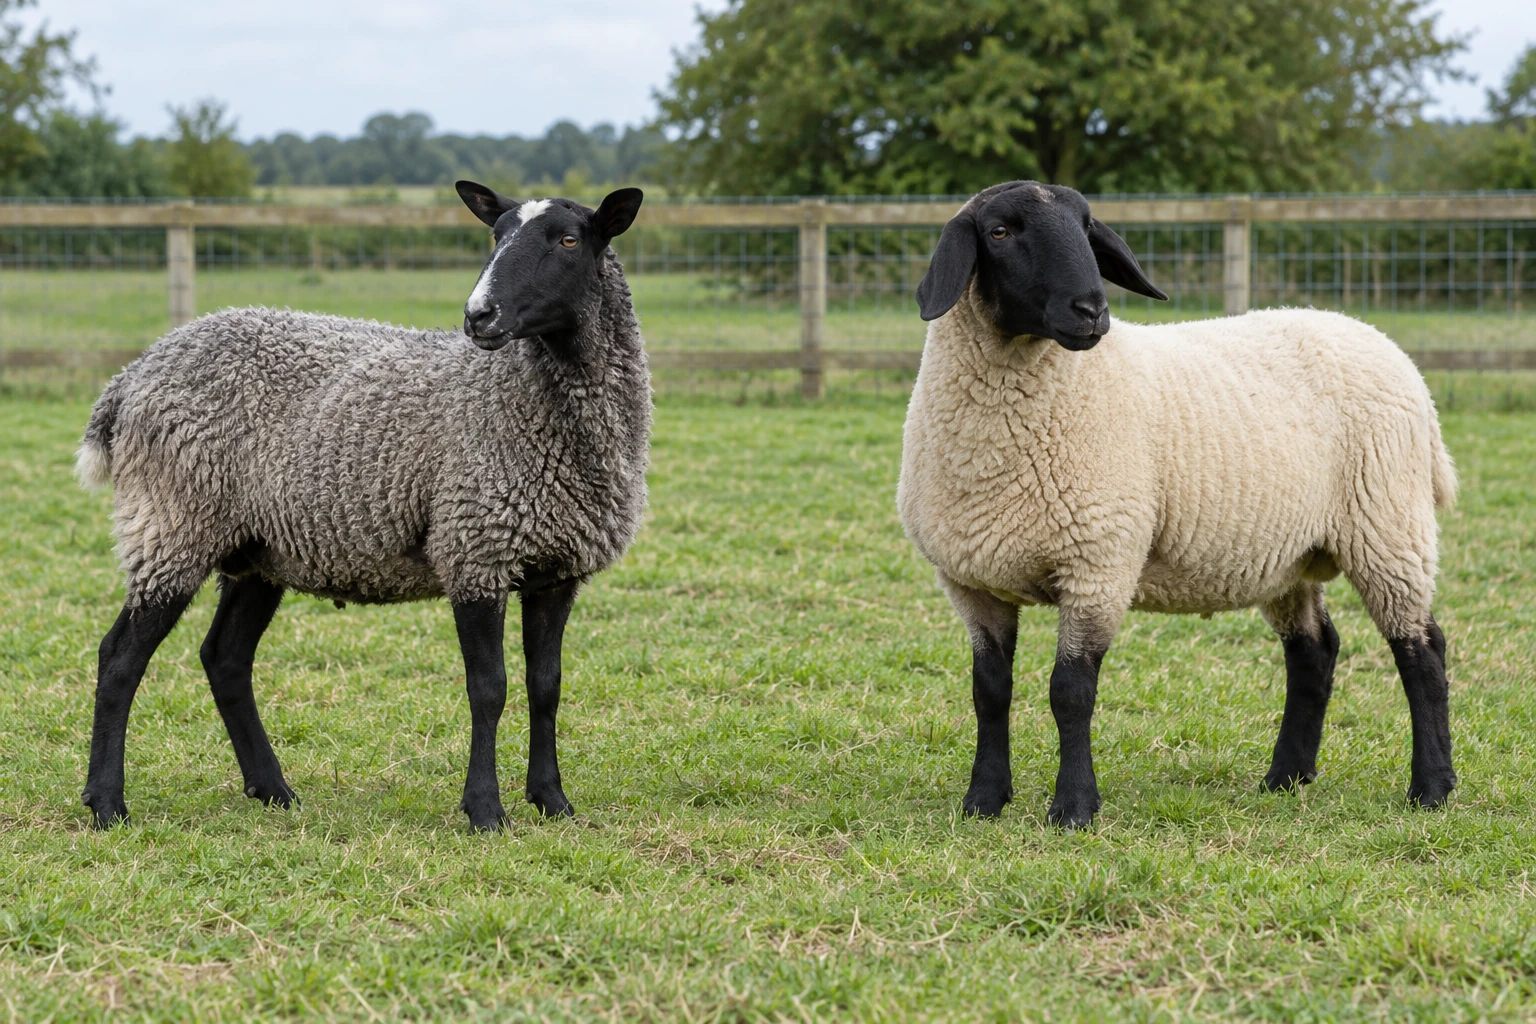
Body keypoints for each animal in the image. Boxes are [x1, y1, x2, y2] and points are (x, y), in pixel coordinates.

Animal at [75, 182, 650, 831]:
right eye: (496, 235)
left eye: (569, 240)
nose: (479, 316)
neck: (520, 397)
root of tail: (133, 374)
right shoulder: (474, 548)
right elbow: (489, 688)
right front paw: (485, 811)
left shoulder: (558, 567)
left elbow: (545, 685)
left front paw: (552, 800)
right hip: (173, 521)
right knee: (120, 658)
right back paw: (107, 803)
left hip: (255, 549)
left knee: (224, 658)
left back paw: (273, 790)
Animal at [898, 180, 1458, 828]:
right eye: (999, 232)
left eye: (1087, 228)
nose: (1092, 311)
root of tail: (1385, 346)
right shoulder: (970, 581)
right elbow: (989, 691)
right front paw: (984, 800)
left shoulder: (1099, 563)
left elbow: (1071, 693)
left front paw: (1074, 808)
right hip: (1289, 553)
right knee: (1314, 651)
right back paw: (1286, 777)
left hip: (1388, 524)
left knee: (1421, 650)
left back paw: (1432, 788)